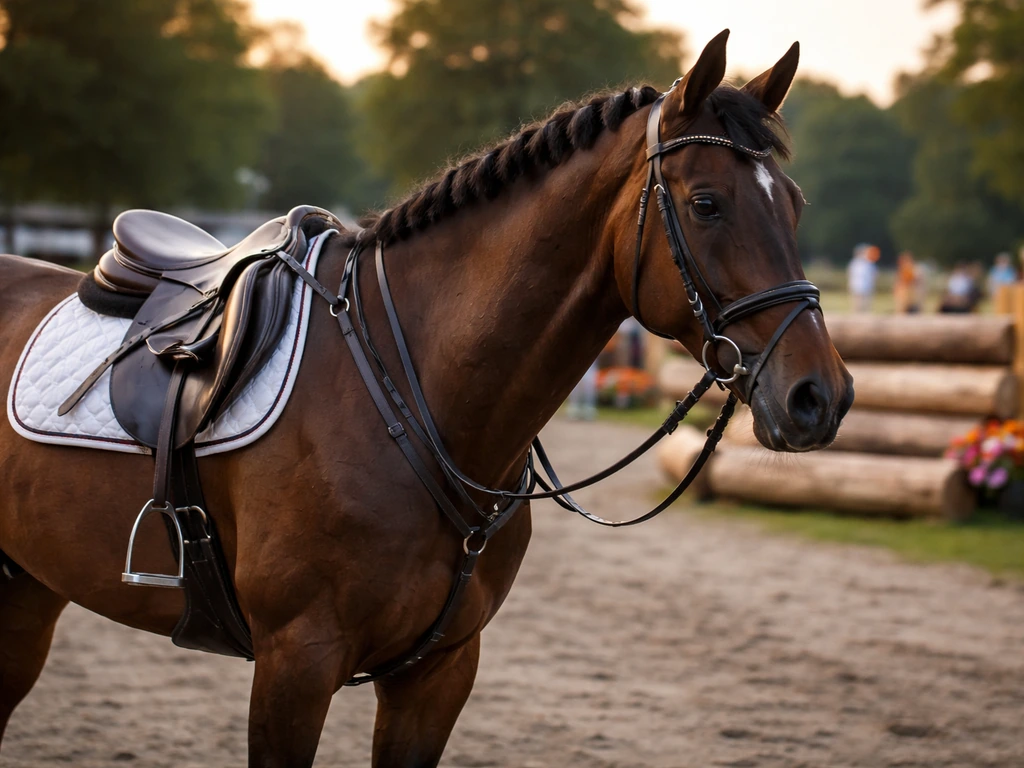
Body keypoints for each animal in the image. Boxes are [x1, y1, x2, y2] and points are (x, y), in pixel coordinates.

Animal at [0, 31, 852, 767]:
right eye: (707, 203)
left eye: (795, 205)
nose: (822, 395)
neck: (410, 400)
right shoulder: (294, 663)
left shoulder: (438, 674)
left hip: (29, 588)